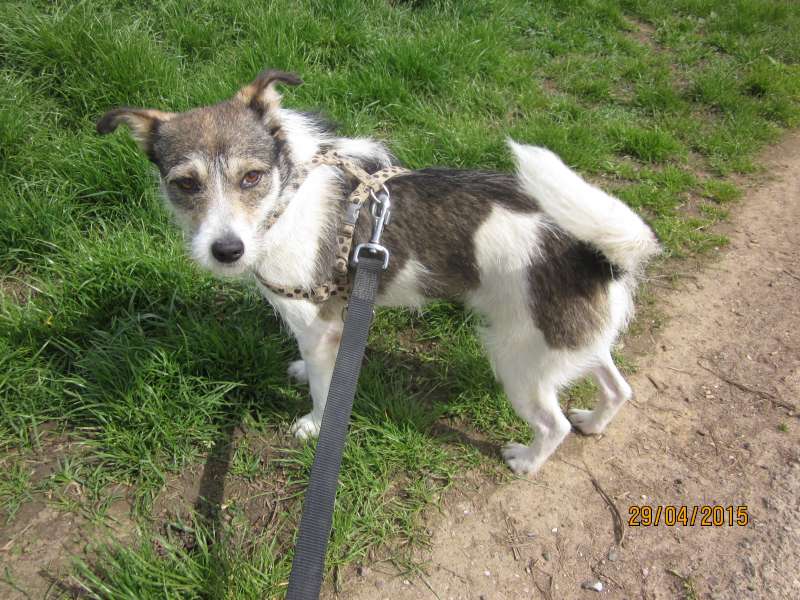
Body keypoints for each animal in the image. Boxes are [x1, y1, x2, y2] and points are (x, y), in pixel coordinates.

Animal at [97, 69, 660, 474]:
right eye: (185, 184)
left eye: (252, 177)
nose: (226, 250)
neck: (287, 197)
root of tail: (597, 254)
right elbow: (311, 366)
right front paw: (300, 371)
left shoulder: (318, 326)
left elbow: (324, 390)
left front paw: (313, 425)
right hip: (565, 344)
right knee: (617, 387)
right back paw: (595, 421)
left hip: (518, 359)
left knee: (554, 424)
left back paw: (528, 460)